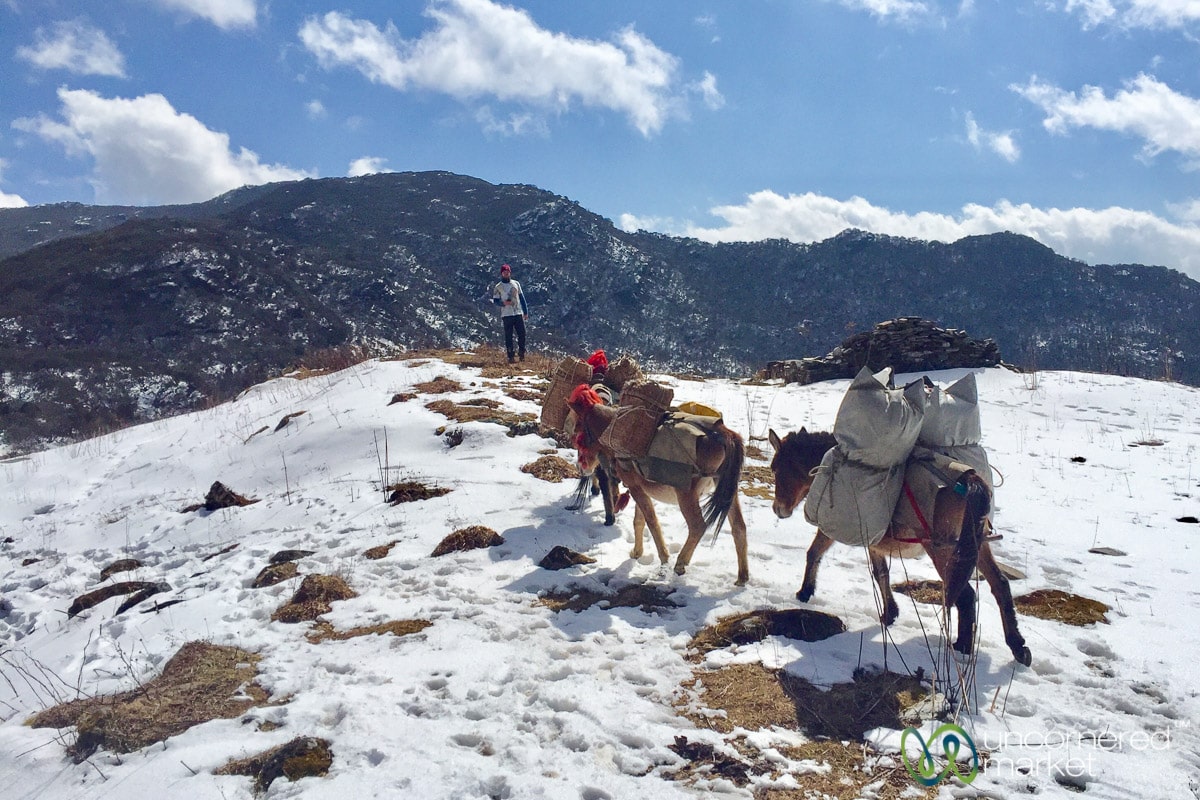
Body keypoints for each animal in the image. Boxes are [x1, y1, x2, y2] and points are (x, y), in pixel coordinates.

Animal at [564, 383, 748, 585]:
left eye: (578, 428)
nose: (582, 467)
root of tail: (724, 434)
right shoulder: (640, 489)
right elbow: (639, 521)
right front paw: (637, 552)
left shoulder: (636, 489)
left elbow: (652, 522)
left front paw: (664, 558)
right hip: (728, 492)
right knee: (739, 526)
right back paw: (742, 577)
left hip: (686, 495)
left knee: (698, 526)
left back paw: (680, 563)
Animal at [768, 429, 1032, 666]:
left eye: (775, 468)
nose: (778, 510)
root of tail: (971, 481)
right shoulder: (873, 542)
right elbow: (881, 574)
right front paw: (889, 613)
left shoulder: (832, 527)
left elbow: (814, 552)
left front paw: (805, 591)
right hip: (979, 545)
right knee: (1000, 585)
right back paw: (1018, 647)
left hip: (941, 549)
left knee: (966, 594)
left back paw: (962, 648)